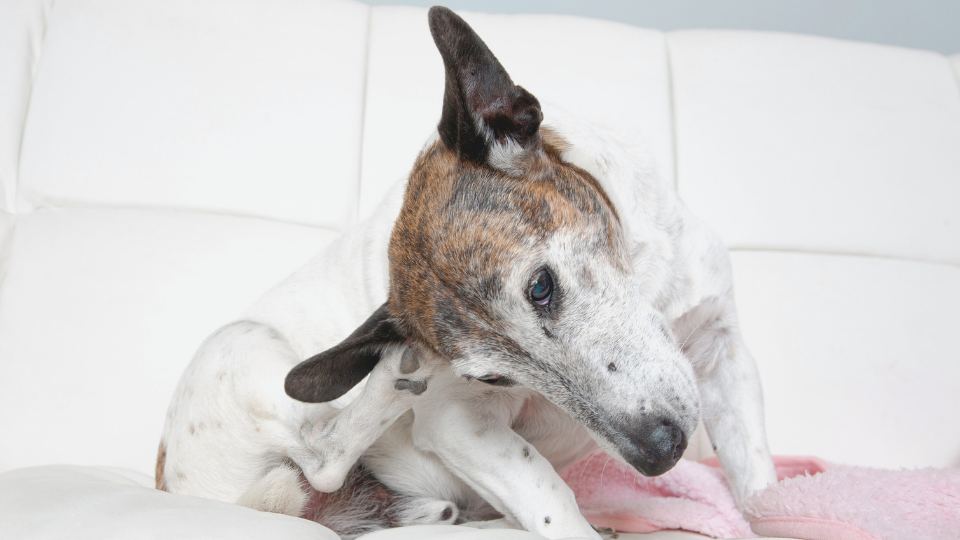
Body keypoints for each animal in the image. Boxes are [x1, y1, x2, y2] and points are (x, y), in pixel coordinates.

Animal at [159, 8, 780, 540]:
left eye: (540, 287)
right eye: (492, 378)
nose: (659, 454)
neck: (644, 276)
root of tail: (183, 488)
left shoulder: (724, 351)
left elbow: (758, 484)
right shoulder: (459, 426)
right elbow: (551, 498)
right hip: (244, 348)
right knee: (320, 460)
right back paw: (392, 376)